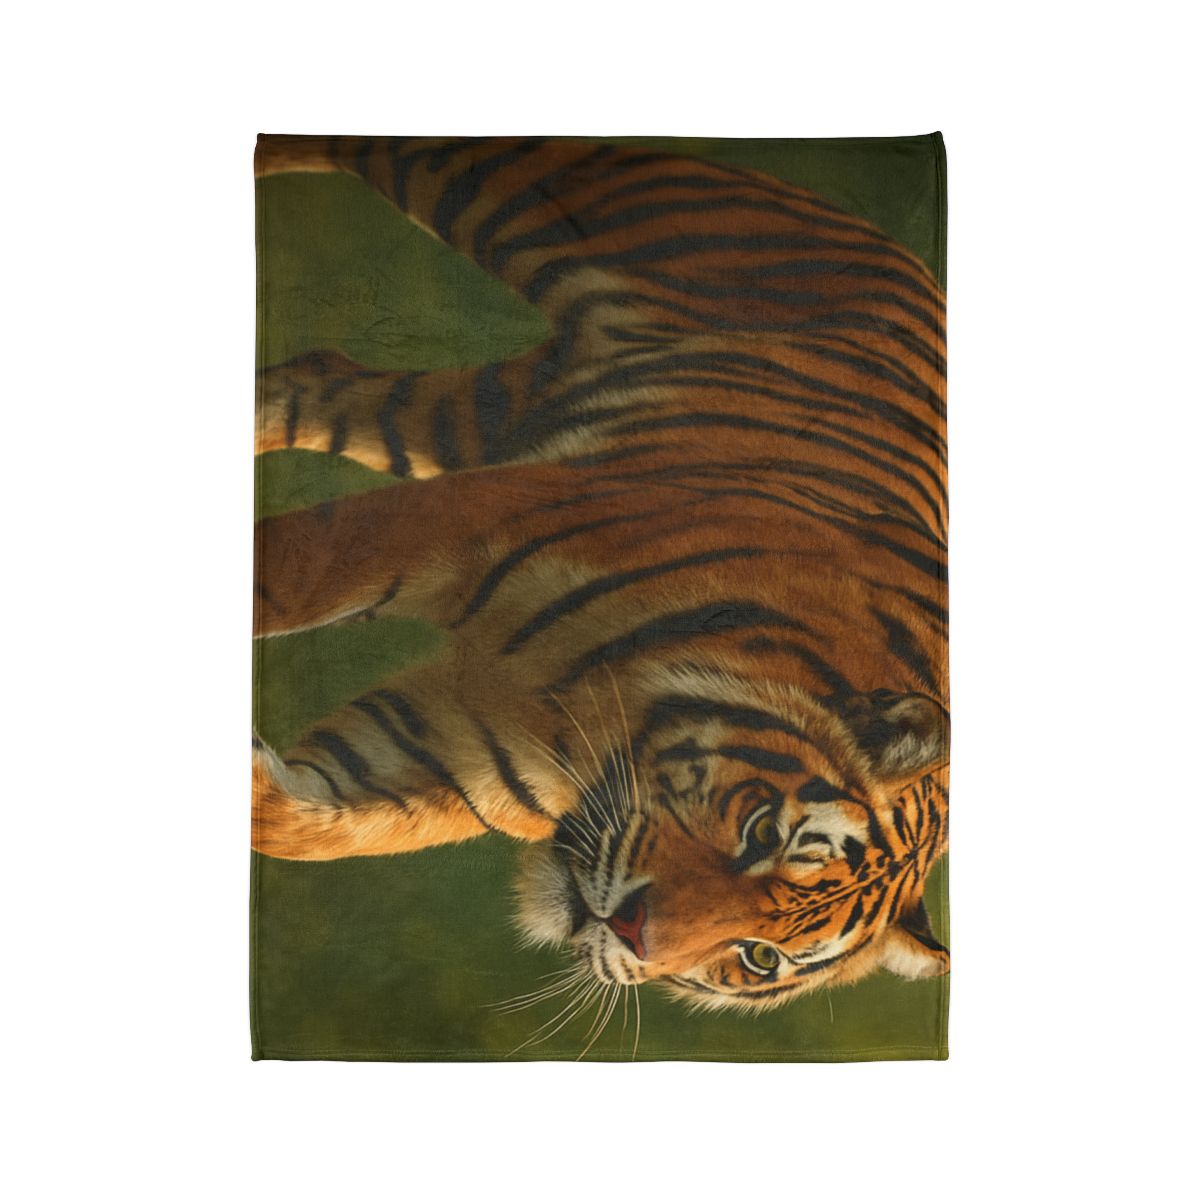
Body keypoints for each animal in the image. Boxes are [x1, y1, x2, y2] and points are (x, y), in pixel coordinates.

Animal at [252, 135, 949, 1011]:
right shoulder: (459, 518)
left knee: (313, 374)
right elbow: (281, 576)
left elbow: (307, 823)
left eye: (759, 957)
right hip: (526, 191)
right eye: (765, 833)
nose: (631, 934)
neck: (590, 722)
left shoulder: (435, 754)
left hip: (457, 418)